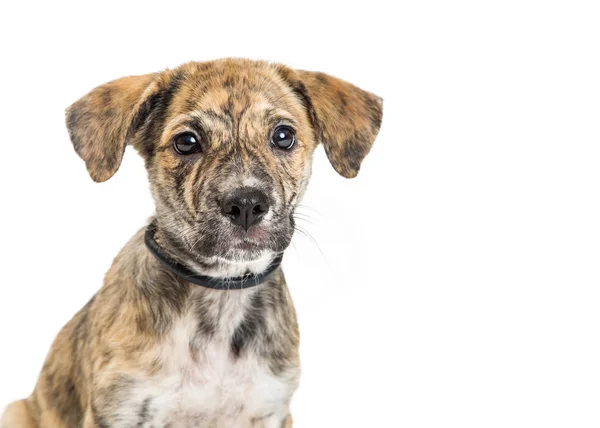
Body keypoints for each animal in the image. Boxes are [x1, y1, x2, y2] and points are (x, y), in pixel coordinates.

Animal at [1, 57, 380, 428]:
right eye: (187, 142)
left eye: (283, 136)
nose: (246, 205)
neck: (221, 294)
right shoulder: (119, 410)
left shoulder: (270, 409)